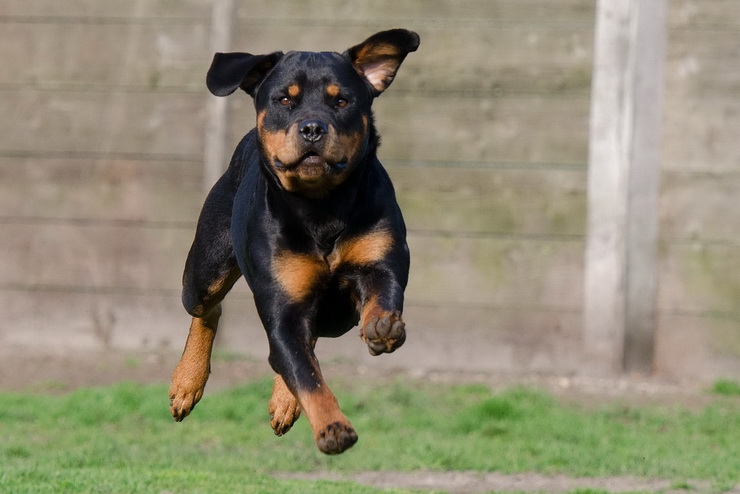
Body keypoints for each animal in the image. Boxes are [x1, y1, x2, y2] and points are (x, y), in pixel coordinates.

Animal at [170, 29, 420, 454]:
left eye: (342, 100)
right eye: (284, 99)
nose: (313, 127)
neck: (321, 206)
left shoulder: (381, 258)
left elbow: (382, 293)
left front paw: (382, 326)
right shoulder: (283, 302)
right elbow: (305, 374)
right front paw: (333, 428)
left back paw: (283, 401)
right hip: (205, 270)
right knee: (209, 309)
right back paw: (186, 384)